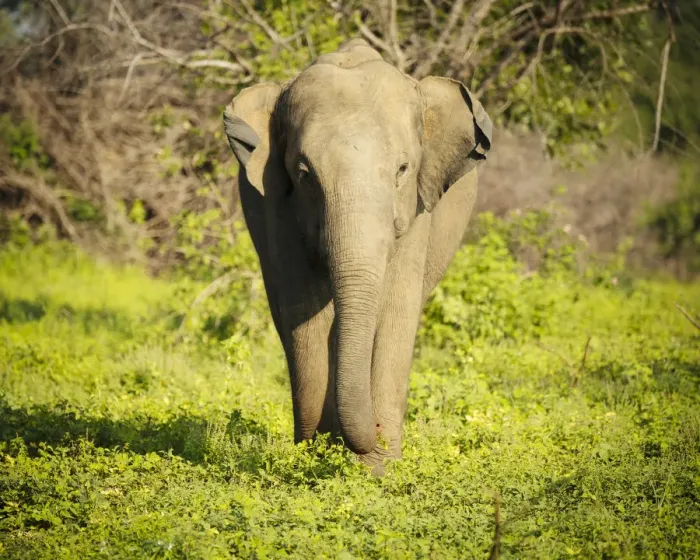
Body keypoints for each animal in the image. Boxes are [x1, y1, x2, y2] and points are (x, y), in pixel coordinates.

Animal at [222, 38, 492, 475]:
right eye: (304, 174)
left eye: (402, 169)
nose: (373, 437)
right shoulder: (277, 209)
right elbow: (304, 311)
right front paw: (314, 460)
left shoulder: (417, 210)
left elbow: (395, 307)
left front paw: (378, 470)